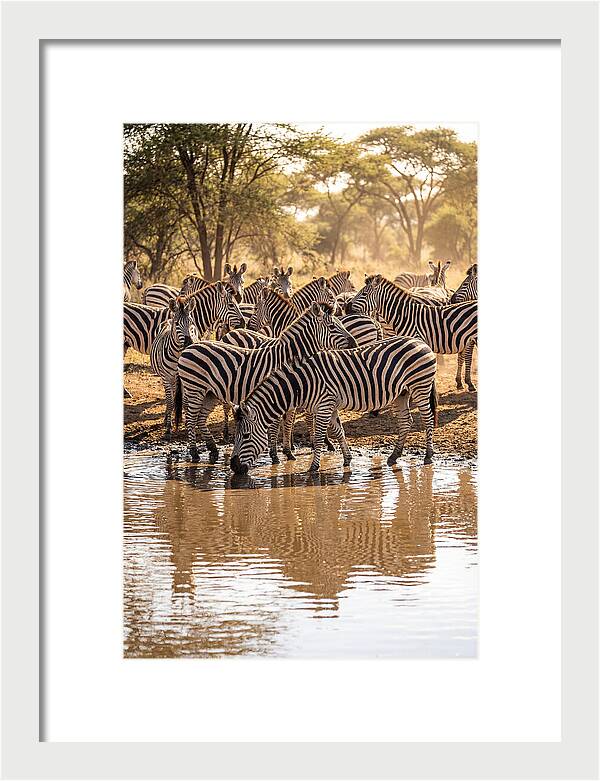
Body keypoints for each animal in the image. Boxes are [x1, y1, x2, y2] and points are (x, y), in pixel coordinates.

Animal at [150, 298, 199, 440]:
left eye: (191, 323)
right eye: (177, 324)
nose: (189, 343)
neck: (178, 355)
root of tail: (168, 320)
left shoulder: (188, 379)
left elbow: (186, 402)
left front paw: (188, 423)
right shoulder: (166, 377)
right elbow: (171, 401)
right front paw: (168, 427)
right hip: (168, 378)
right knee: (169, 398)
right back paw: (167, 418)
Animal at [176, 303, 357, 463]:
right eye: (332, 326)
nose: (354, 343)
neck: (287, 358)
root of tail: (189, 347)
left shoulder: (290, 394)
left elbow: (288, 422)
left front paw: (288, 452)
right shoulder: (277, 392)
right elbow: (277, 424)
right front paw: (275, 455)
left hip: (210, 393)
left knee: (200, 419)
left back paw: (213, 449)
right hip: (195, 389)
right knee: (191, 419)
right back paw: (194, 453)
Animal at [230, 335, 438, 475]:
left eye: (246, 435)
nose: (233, 466)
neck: (303, 383)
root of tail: (420, 342)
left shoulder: (324, 405)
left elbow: (319, 438)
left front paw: (313, 467)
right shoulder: (329, 406)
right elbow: (339, 432)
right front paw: (347, 459)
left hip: (420, 386)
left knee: (427, 419)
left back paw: (428, 455)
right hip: (401, 394)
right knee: (406, 422)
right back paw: (394, 455)